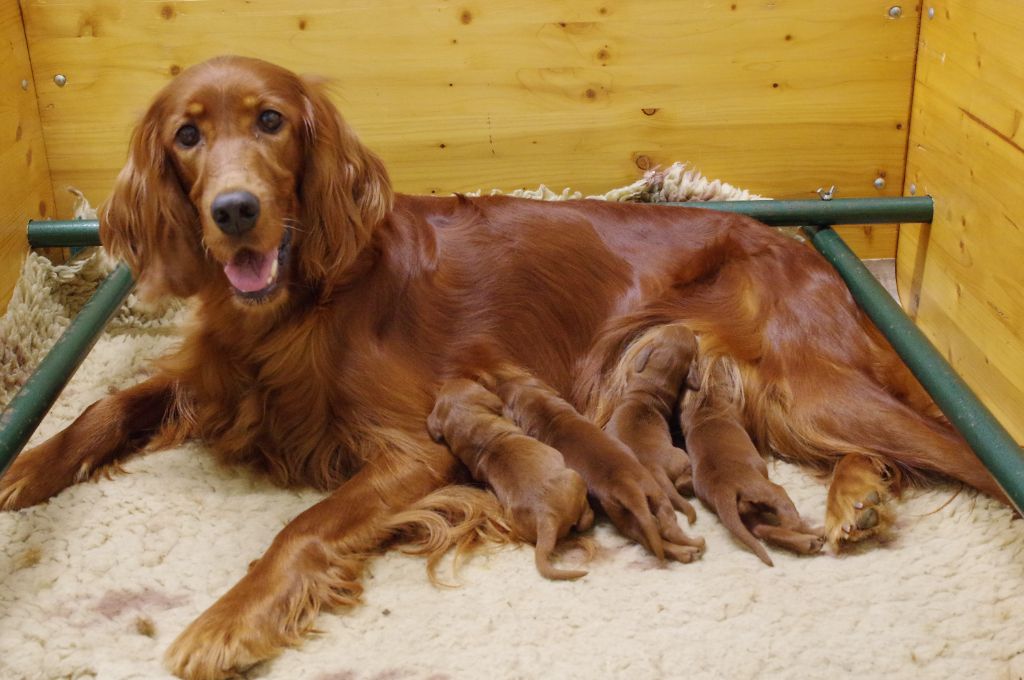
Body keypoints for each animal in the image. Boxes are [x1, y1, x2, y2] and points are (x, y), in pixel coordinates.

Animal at [0, 55, 1007, 675]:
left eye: (272, 120)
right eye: (188, 136)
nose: (236, 211)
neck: (298, 299)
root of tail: (801, 245)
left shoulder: (413, 449)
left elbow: (301, 529)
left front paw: (226, 621)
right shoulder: (220, 381)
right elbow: (103, 408)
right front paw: (25, 468)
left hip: (810, 387)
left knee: (957, 448)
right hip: (779, 401)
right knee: (881, 456)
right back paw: (856, 500)